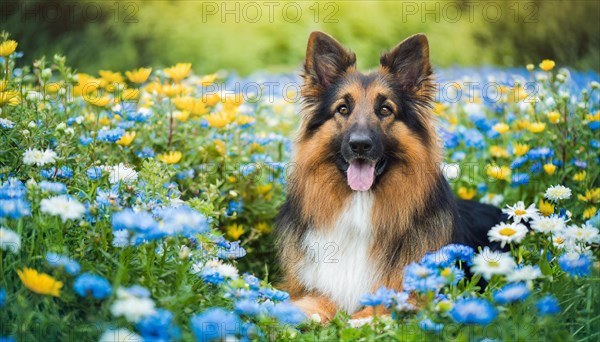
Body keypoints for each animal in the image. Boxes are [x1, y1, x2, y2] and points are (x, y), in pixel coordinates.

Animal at [276, 31, 502, 320]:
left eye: (385, 110)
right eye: (342, 109)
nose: (360, 145)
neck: (361, 204)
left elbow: (382, 306)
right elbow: (315, 300)